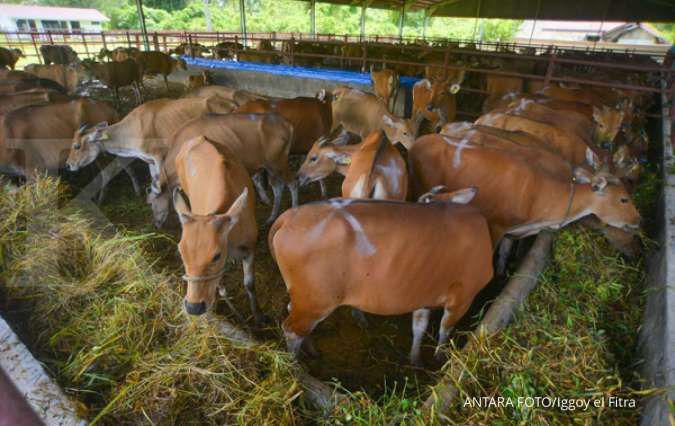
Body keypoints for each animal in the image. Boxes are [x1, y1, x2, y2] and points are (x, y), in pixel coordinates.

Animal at [173, 136, 262, 322]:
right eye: (180, 252)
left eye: (216, 255)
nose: (194, 307)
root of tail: (198, 138)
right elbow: (220, 287)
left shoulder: (251, 246)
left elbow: (250, 284)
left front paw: (259, 316)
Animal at [270, 193, 496, 362]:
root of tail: (290, 215)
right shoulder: (463, 296)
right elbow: (445, 329)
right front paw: (440, 357)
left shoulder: (424, 295)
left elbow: (419, 327)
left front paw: (414, 359)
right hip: (316, 301)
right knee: (291, 329)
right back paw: (295, 365)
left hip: (305, 298)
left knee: (292, 314)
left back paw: (312, 350)